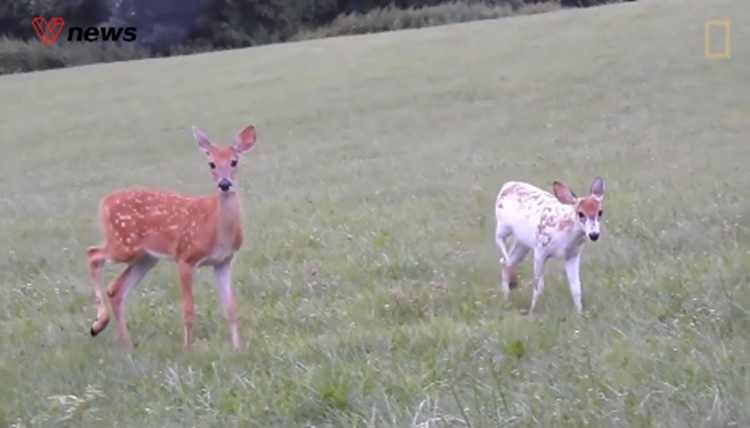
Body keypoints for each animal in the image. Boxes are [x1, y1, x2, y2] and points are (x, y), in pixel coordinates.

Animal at [85, 123, 258, 350]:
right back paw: (99, 324)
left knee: (115, 289)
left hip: (145, 258)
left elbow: (231, 308)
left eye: (234, 161)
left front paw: (238, 349)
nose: (224, 184)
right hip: (124, 245)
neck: (216, 226)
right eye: (211, 163)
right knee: (92, 254)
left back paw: (125, 343)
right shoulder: (185, 257)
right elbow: (188, 311)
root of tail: (104, 202)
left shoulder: (223, 261)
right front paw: (187, 349)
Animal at [494, 177, 604, 314]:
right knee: (500, 242)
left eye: (600, 212)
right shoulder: (540, 250)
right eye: (580, 213)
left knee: (504, 261)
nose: (594, 235)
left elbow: (576, 287)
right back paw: (512, 280)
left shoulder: (572, 254)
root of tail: (507, 185)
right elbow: (538, 285)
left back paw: (506, 297)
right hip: (503, 226)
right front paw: (532, 311)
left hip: (522, 243)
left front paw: (579, 312)